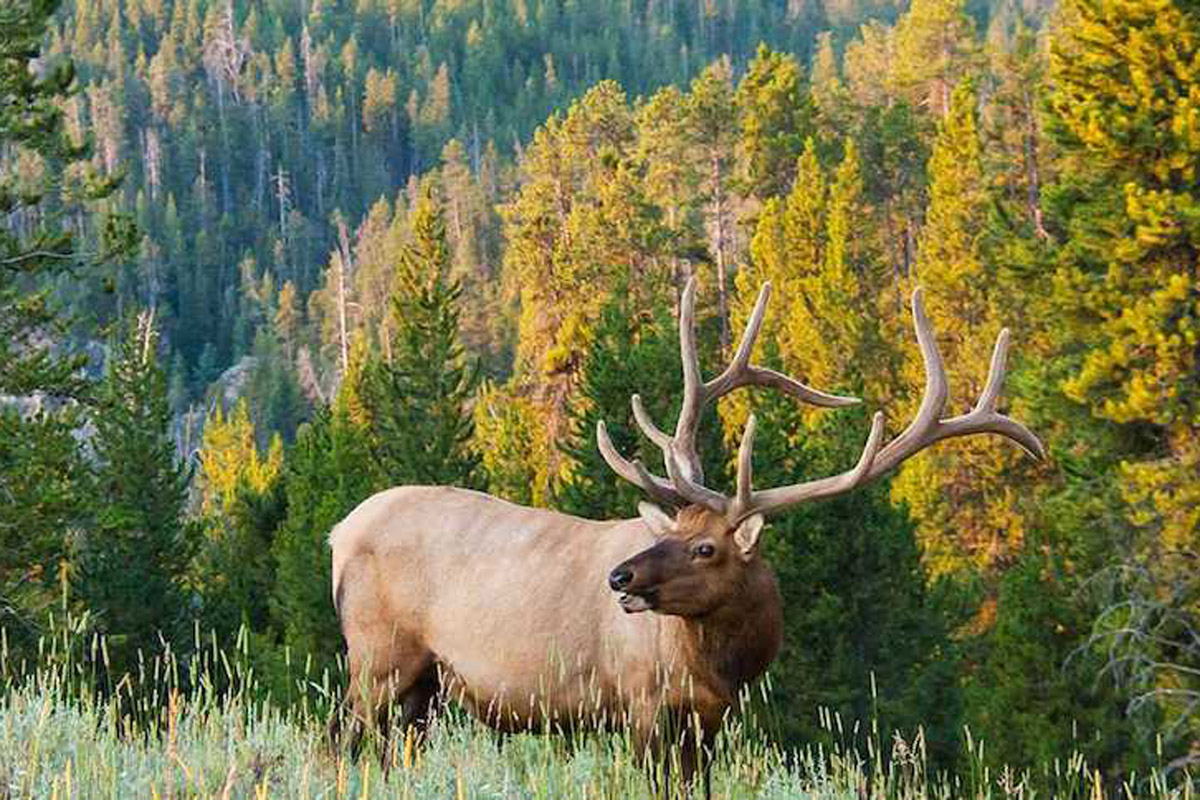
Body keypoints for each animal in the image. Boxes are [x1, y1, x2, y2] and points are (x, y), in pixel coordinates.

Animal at [328, 279, 1044, 795]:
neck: (722, 665)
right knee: (345, 740)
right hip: (377, 655)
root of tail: (338, 533)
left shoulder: (710, 720)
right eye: (673, 530)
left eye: (706, 547)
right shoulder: (640, 702)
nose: (619, 577)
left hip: (422, 684)